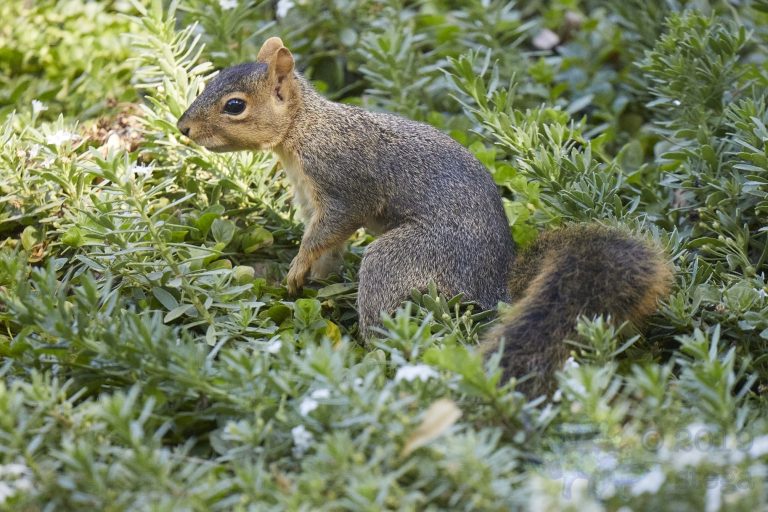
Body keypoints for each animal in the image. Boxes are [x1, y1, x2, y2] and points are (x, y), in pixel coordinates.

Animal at [177, 37, 673, 395]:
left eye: (235, 105)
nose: (183, 128)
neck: (303, 131)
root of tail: (495, 283)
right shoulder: (310, 195)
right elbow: (328, 242)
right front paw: (314, 276)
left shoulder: (343, 184)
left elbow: (333, 227)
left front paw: (297, 267)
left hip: (408, 257)